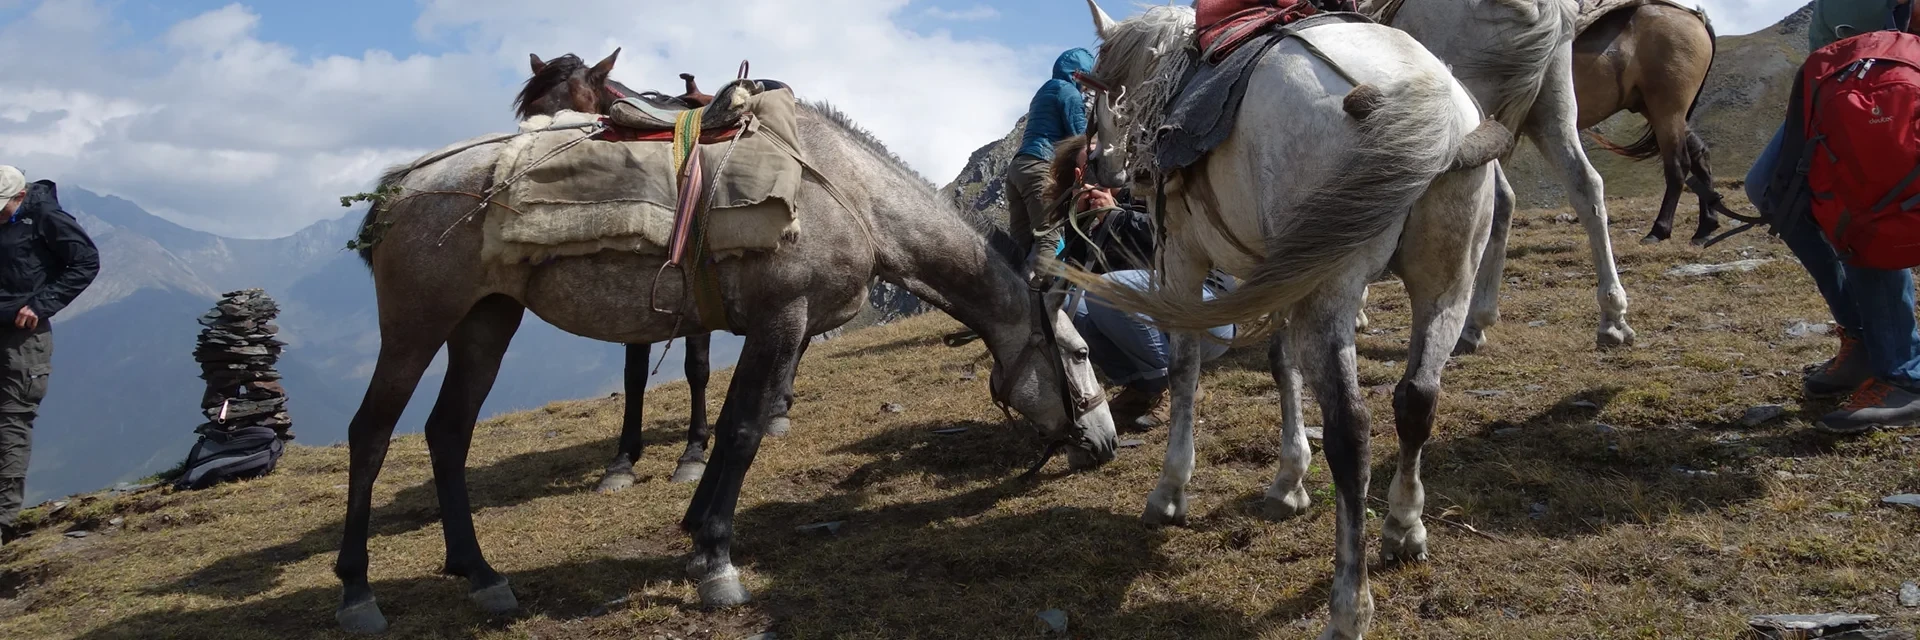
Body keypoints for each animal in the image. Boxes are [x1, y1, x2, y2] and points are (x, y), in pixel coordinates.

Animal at [336, 97, 1121, 630]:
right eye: (1080, 352)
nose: (1105, 442)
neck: (849, 194)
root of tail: (400, 184)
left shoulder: (772, 330)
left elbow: (736, 425)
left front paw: (696, 533)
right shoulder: (782, 320)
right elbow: (742, 430)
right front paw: (717, 562)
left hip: (485, 320)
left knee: (448, 433)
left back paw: (481, 575)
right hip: (416, 324)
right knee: (370, 434)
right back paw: (357, 592)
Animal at [1075, 2, 1505, 634]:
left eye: (1100, 92)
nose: (1102, 168)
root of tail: (1429, 100)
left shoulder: (1180, 258)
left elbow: (1184, 370)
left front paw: (1171, 491)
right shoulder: (1277, 272)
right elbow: (1283, 367)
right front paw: (1288, 481)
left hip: (1332, 290)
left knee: (1352, 430)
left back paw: (1350, 607)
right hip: (1447, 282)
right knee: (1417, 401)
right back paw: (1404, 527)